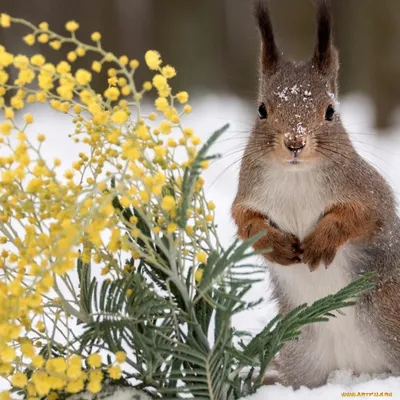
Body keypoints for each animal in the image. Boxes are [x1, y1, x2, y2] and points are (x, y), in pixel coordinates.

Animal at [231, 0, 400, 390]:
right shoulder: (246, 196)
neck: (297, 177)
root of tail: (354, 369)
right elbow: (245, 223)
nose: (295, 142)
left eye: (331, 111)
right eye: (262, 109)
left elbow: (359, 217)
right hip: (301, 354)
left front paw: (323, 240)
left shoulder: (370, 194)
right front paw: (274, 245)